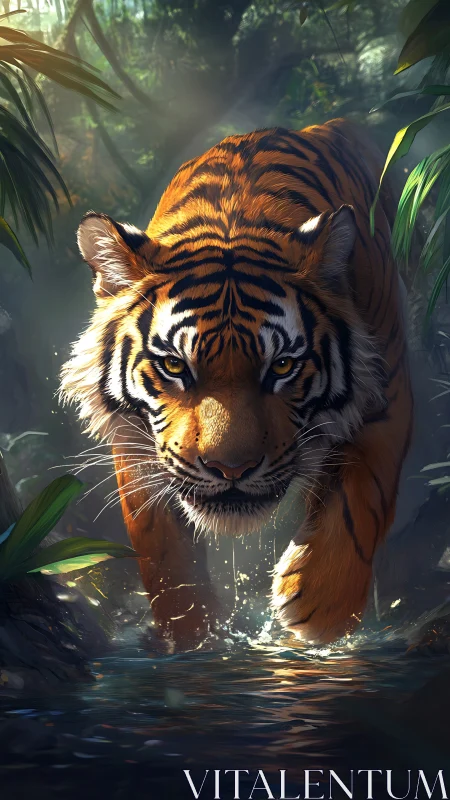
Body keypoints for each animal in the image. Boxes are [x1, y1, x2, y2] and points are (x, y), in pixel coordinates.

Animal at [60, 118, 413, 649]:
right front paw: (193, 634)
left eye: (282, 366)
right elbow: (160, 546)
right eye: (175, 366)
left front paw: (319, 610)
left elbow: (359, 501)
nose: (231, 469)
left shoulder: (385, 398)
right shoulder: (133, 437)